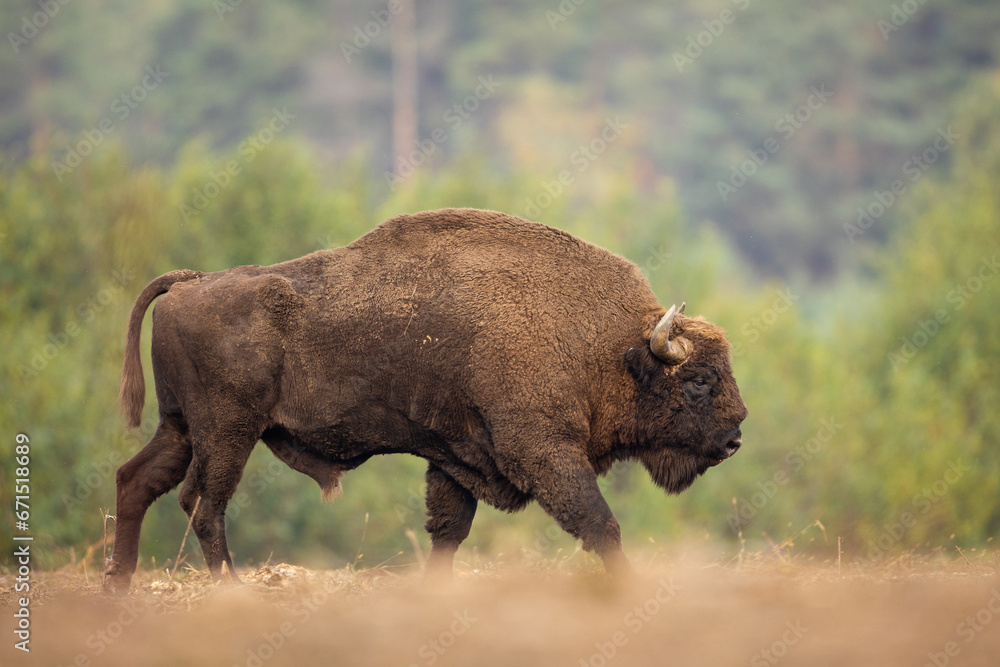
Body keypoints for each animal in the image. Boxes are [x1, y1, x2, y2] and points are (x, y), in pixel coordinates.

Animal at [104, 208, 746, 594]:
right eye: (698, 381)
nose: (736, 435)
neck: (606, 346)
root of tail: (190, 283)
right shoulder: (542, 451)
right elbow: (597, 521)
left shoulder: (456, 457)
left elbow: (448, 529)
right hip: (227, 432)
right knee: (202, 504)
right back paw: (230, 588)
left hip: (180, 427)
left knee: (136, 480)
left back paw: (118, 585)